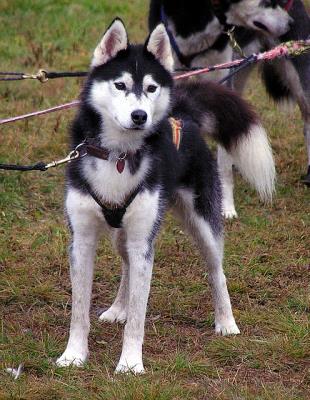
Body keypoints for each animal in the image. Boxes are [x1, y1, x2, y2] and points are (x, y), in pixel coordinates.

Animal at [57, 19, 274, 376]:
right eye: (120, 85)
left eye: (151, 88)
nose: (140, 116)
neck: (118, 154)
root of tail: (181, 113)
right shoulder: (82, 240)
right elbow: (79, 311)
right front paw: (74, 355)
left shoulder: (144, 240)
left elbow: (139, 318)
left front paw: (130, 363)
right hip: (125, 235)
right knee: (128, 265)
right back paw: (118, 307)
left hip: (201, 224)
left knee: (217, 271)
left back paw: (226, 322)